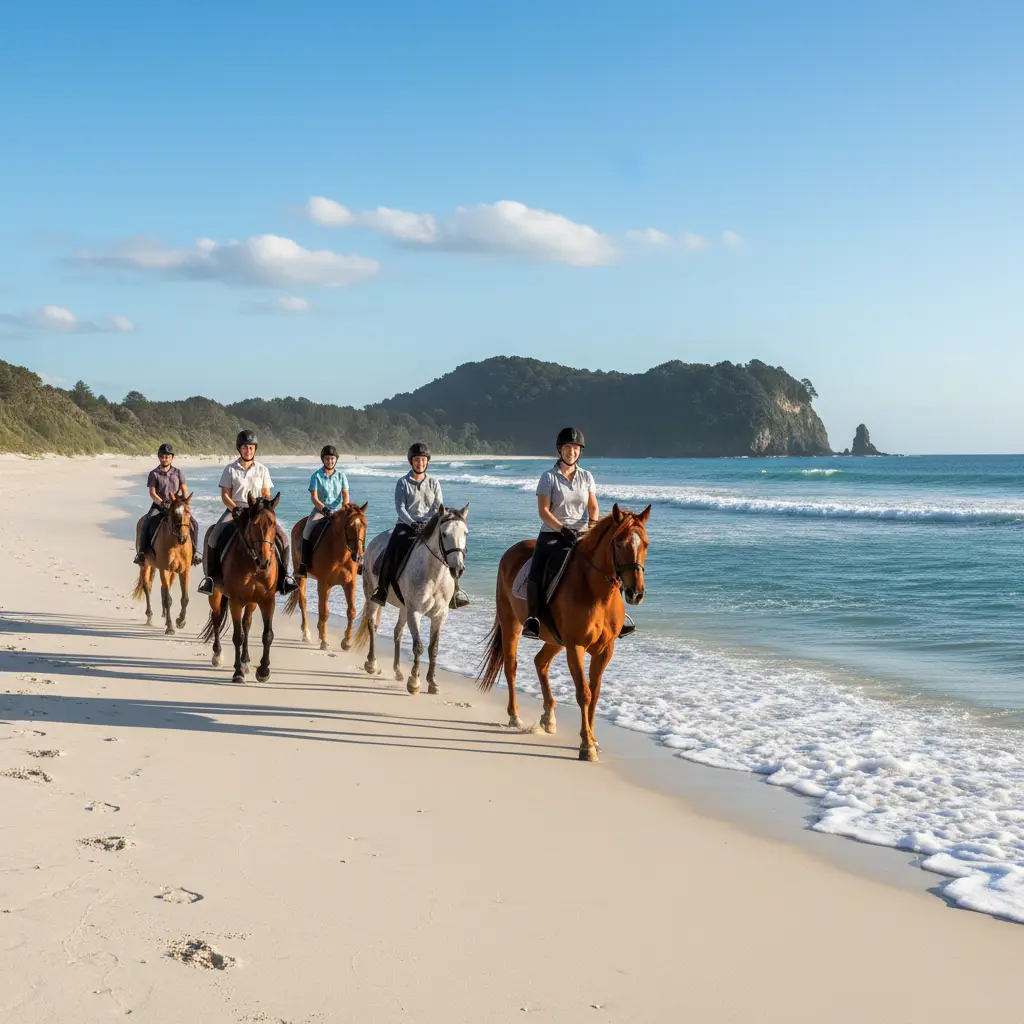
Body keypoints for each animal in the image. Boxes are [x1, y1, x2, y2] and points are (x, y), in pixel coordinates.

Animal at [130, 493, 195, 634]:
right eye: (174, 513)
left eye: (188, 511)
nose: (183, 537)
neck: (176, 543)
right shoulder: (164, 569)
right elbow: (168, 599)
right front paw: (170, 627)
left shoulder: (185, 570)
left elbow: (185, 598)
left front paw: (180, 621)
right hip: (145, 565)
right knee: (147, 587)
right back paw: (149, 616)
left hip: (171, 572)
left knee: (163, 589)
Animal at [198, 494, 281, 684]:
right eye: (254, 523)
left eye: (273, 523)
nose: (265, 561)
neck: (253, 565)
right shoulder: (235, 601)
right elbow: (237, 636)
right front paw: (237, 673)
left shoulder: (267, 600)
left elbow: (267, 634)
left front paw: (263, 671)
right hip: (216, 594)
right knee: (216, 619)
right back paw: (218, 655)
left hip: (251, 601)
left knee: (247, 624)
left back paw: (245, 661)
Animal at [283, 502, 368, 650]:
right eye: (350, 526)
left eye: (365, 525)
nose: (358, 556)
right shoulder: (324, 584)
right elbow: (324, 613)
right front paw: (324, 641)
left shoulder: (350, 583)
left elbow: (351, 611)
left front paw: (346, 642)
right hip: (301, 575)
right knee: (303, 602)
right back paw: (306, 633)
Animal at [354, 504, 470, 694]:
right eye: (444, 534)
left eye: (465, 533)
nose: (457, 568)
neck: (434, 576)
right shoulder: (415, 612)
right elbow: (418, 647)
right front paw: (414, 681)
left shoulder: (440, 616)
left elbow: (433, 648)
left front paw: (432, 682)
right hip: (371, 595)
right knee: (372, 625)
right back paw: (372, 663)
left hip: (403, 608)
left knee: (398, 632)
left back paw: (398, 671)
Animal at [478, 503, 651, 761]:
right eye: (619, 543)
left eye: (646, 544)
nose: (636, 593)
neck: (597, 593)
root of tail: (512, 550)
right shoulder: (576, 646)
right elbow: (584, 694)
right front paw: (586, 746)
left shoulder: (605, 650)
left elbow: (595, 694)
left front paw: (593, 739)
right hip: (511, 624)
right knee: (511, 667)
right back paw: (514, 716)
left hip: (556, 640)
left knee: (540, 662)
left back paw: (548, 717)